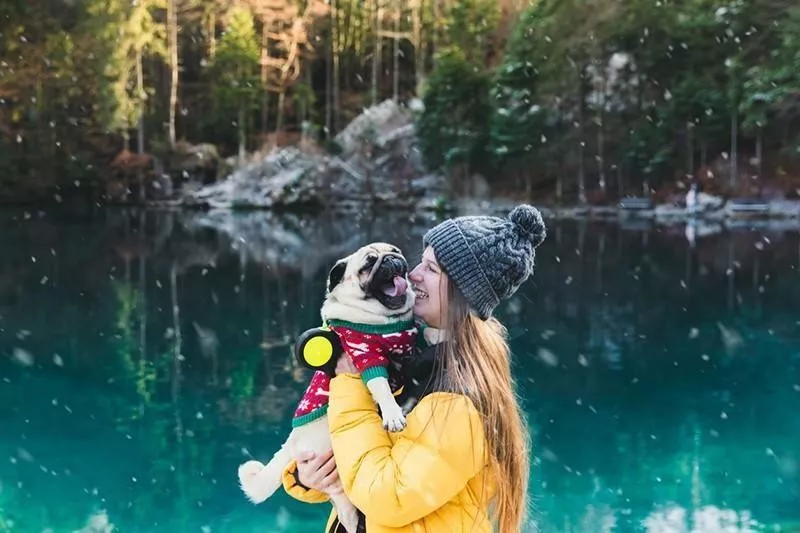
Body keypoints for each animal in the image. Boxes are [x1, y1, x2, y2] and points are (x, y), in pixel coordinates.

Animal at [238, 244, 416, 532]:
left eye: (395, 251)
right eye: (369, 264)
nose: (391, 259)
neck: (386, 322)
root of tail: (292, 444)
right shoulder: (364, 355)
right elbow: (380, 386)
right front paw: (392, 413)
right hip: (338, 486)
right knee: (349, 514)